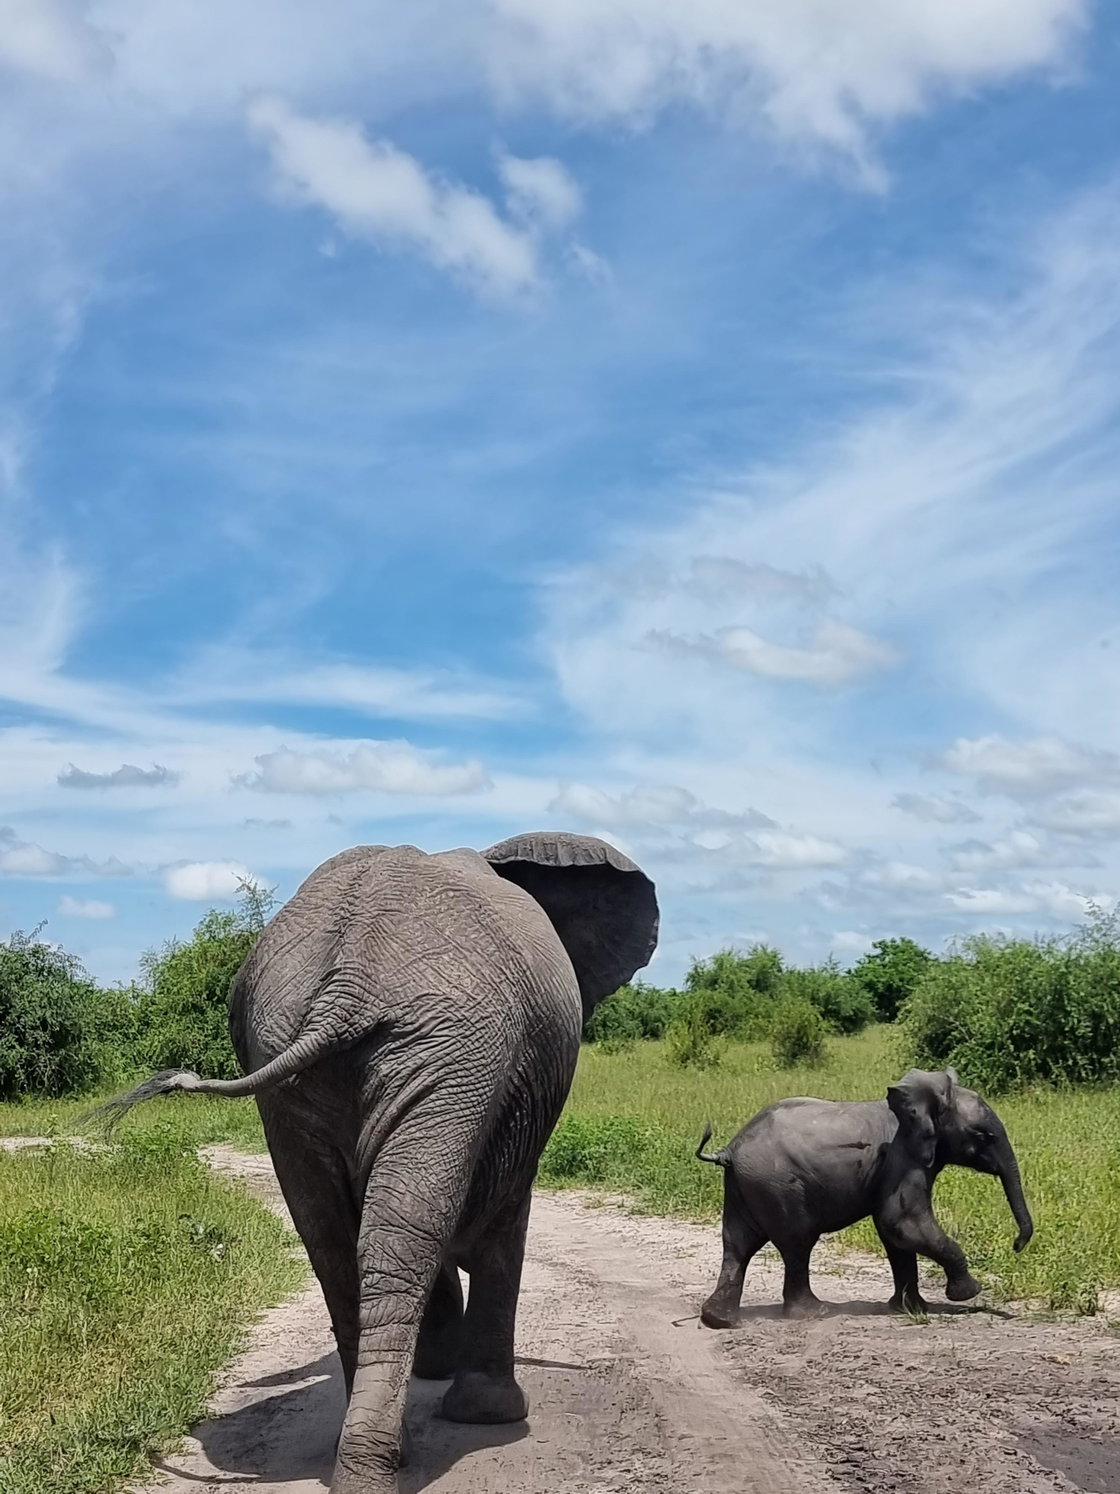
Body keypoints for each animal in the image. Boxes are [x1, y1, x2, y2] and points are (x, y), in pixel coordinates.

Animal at [98, 834, 658, 1493]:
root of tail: (347, 982)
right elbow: (502, 1221)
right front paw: (488, 1413)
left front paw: (438, 1370)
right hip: (452, 1049)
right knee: (406, 1228)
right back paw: (379, 1463)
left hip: (304, 1054)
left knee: (342, 1239)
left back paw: (374, 1454)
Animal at [695, 1067, 1033, 1329]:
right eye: (984, 1135)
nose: (1016, 1245)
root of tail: (731, 1149)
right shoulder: (903, 1159)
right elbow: (901, 1223)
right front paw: (968, 1292)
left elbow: (895, 1235)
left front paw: (910, 1309)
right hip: (777, 1185)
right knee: (797, 1244)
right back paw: (814, 1313)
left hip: (746, 1185)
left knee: (738, 1245)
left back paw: (719, 1321)